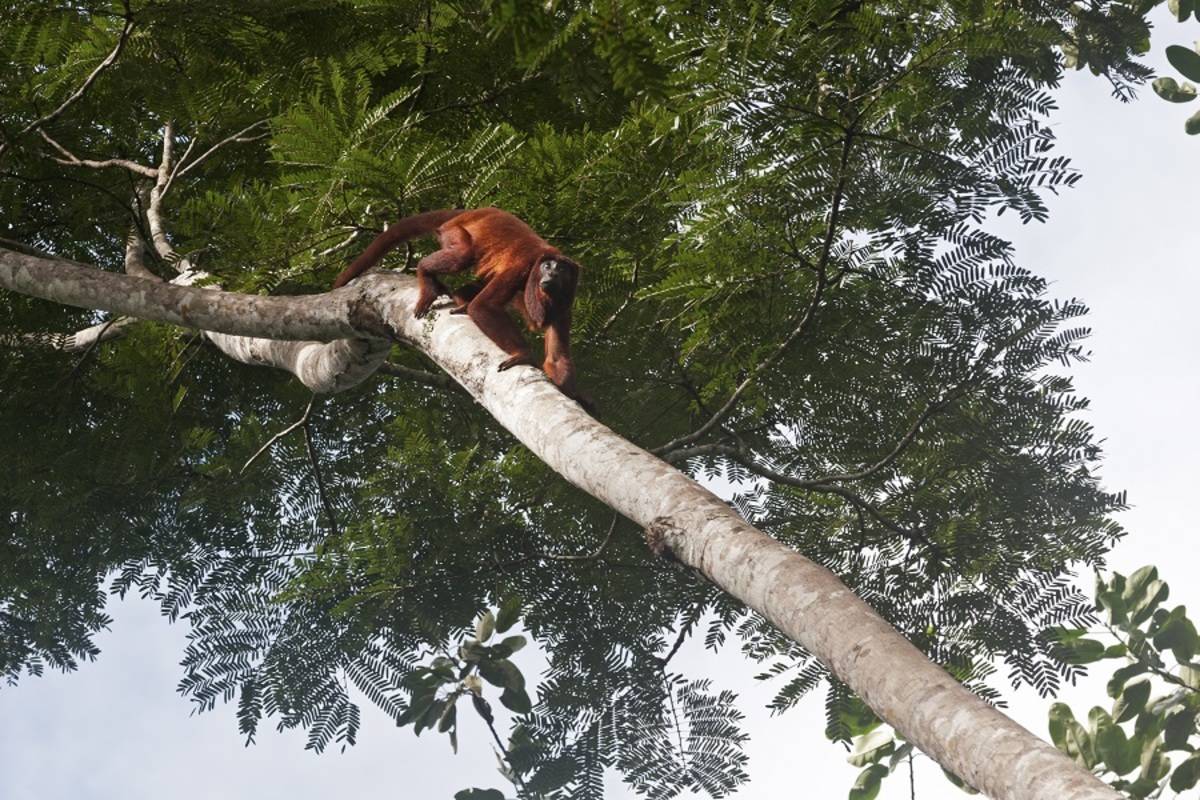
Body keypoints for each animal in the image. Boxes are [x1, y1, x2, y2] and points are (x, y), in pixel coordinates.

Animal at [333, 209, 585, 402]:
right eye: (547, 266)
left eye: (562, 269)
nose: (551, 273)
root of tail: (469, 212)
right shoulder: (522, 267)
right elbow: (483, 307)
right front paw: (521, 353)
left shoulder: (565, 305)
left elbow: (556, 358)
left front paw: (577, 397)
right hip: (454, 231)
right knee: (464, 255)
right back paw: (427, 274)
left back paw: (460, 299)